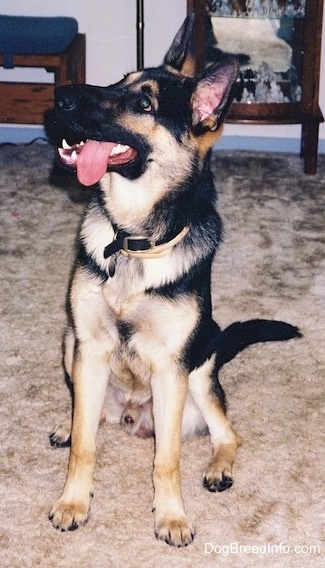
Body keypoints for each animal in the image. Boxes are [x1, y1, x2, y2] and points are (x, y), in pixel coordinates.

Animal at [48, 14, 298, 544]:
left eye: (144, 104)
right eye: (118, 82)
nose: (61, 96)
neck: (133, 240)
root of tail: (130, 411)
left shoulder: (170, 368)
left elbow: (167, 459)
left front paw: (171, 516)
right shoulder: (91, 348)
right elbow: (84, 444)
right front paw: (74, 501)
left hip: (199, 371)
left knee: (228, 434)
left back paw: (219, 466)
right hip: (69, 342)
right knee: (86, 415)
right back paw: (68, 422)